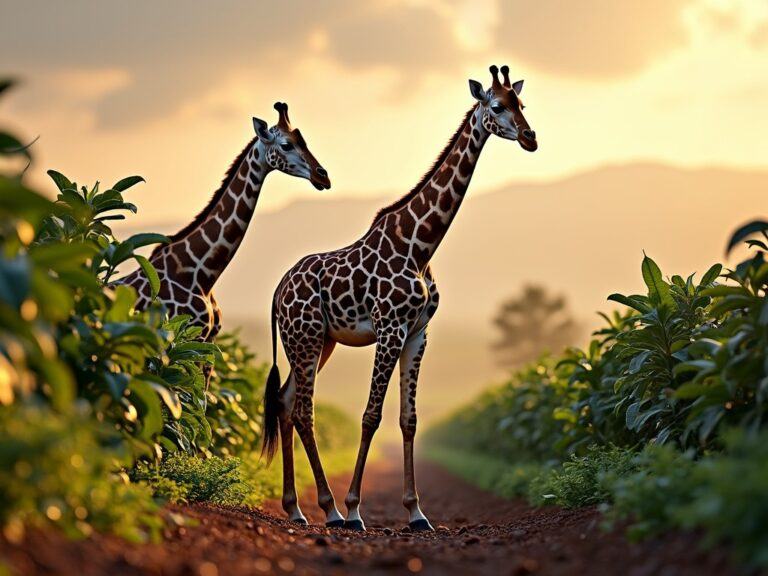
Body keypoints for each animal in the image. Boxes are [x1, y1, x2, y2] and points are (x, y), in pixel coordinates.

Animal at [121, 101, 332, 354]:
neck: (202, 274)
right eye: (286, 144)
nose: (323, 177)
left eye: (304, 141)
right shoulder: (182, 336)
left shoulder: (207, 338)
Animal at [260, 64, 536, 532]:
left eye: (522, 103)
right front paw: (356, 509)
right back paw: (331, 510)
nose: (531, 137)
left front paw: (417, 512)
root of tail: (278, 288)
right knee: (302, 411)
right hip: (306, 336)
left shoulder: (418, 332)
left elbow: (409, 419)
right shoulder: (390, 327)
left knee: (284, 401)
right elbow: (371, 415)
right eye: (497, 106)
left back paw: (295, 508)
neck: (420, 245)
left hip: (320, 341)